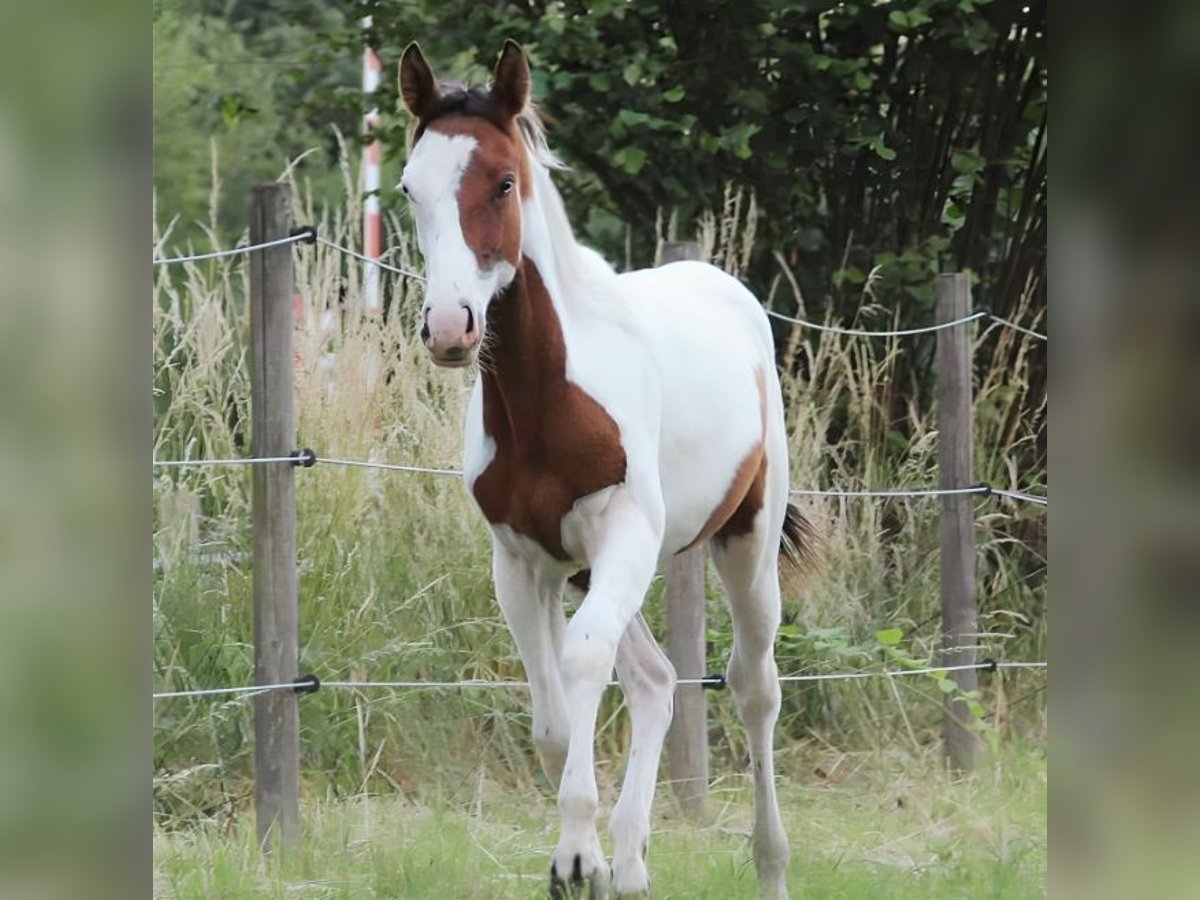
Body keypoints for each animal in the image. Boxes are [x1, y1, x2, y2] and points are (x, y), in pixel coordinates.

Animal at [398, 38, 811, 897]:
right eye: (409, 187)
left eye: (504, 181)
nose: (450, 328)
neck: (546, 400)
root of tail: (726, 287)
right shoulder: (523, 561)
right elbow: (555, 719)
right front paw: (586, 856)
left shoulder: (624, 532)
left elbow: (583, 660)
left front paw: (575, 855)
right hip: (596, 568)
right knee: (655, 679)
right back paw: (631, 864)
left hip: (746, 545)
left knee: (754, 687)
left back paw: (767, 865)